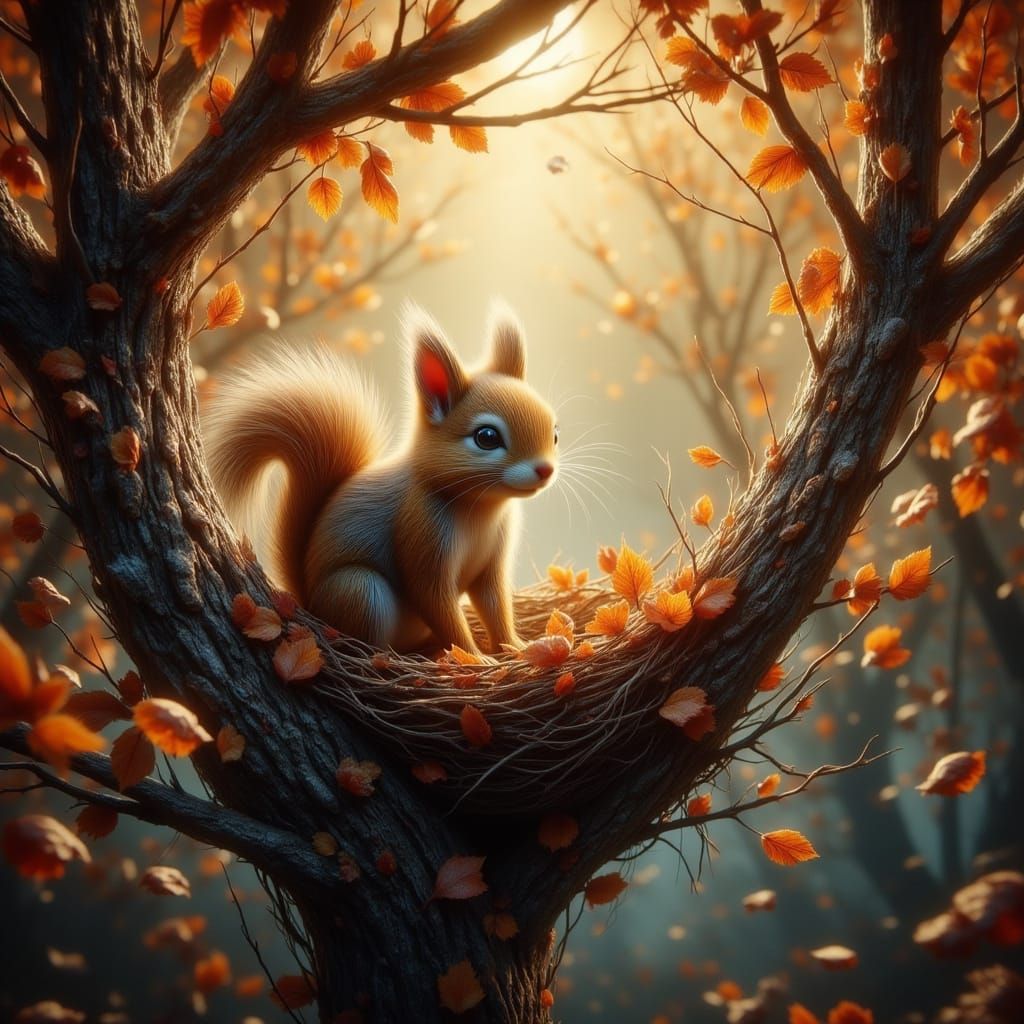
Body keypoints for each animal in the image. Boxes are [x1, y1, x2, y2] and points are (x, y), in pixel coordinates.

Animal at [205, 303, 558, 656]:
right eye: (486, 437)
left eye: (555, 432)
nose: (545, 470)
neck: (481, 507)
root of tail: (313, 607)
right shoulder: (420, 533)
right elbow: (436, 603)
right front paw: (474, 657)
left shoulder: (492, 562)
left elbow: (494, 603)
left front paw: (515, 646)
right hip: (360, 590)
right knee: (372, 643)